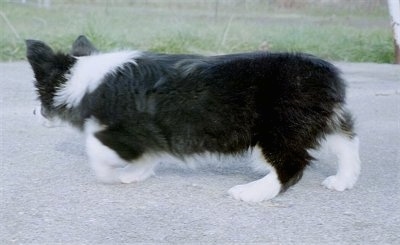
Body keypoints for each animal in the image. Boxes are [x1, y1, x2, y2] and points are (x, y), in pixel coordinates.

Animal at [26, 35, 360, 202]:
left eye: (38, 96)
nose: (32, 113)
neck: (85, 80)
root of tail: (325, 72)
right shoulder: (149, 134)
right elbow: (147, 156)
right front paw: (134, 175)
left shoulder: (124, 131)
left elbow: (95, 149)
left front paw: (108, 174)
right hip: (324, 119)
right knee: (347, 143)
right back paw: (343, 181)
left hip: (278, 129)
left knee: (291, 165)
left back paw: (252, 193)